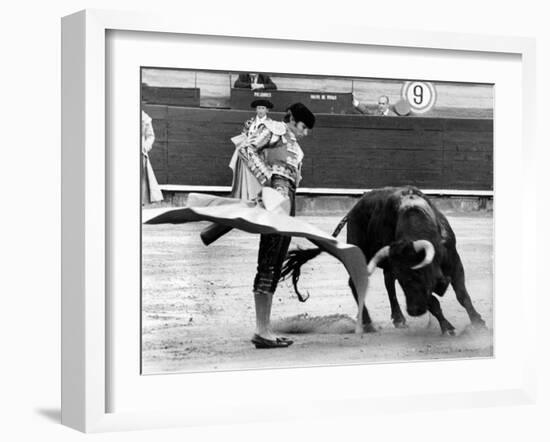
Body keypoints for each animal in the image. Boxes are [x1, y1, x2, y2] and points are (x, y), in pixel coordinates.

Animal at [282, 186, 490, 334]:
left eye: (417, 274)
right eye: (405, 281)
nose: (414, 311)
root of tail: (354, 209)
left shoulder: (455, 262)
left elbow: (462, 295)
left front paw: (478, 322)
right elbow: (433, 302)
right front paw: (448, 328)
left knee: (388, 283)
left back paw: (398, 318)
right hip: (362, 253)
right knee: (356, 282)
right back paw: (368, 323)